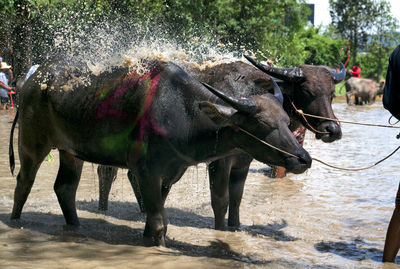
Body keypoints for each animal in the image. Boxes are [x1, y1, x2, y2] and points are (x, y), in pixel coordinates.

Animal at [7, 54, 310, 245]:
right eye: (262, 123)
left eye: (286, 121)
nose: (303, 158)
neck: (185, 114)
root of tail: (31, 81)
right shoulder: (146, 172)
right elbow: (159, 221)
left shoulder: (169, 173)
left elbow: (156, 217)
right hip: (32, 144)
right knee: (24, 182)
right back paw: (15, 221)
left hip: (71, 152)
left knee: (65, 188)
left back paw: (76, 226)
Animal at [97, 55, 346, 229]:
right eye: (307, 90)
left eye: (332, 93)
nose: (332, 130)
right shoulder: (220, 161)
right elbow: (220, 201)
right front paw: (221, 231)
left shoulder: (243, 162)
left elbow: (236, 199)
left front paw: (235, 227)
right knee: (106, 172)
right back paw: (103, 209)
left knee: (134, 175)